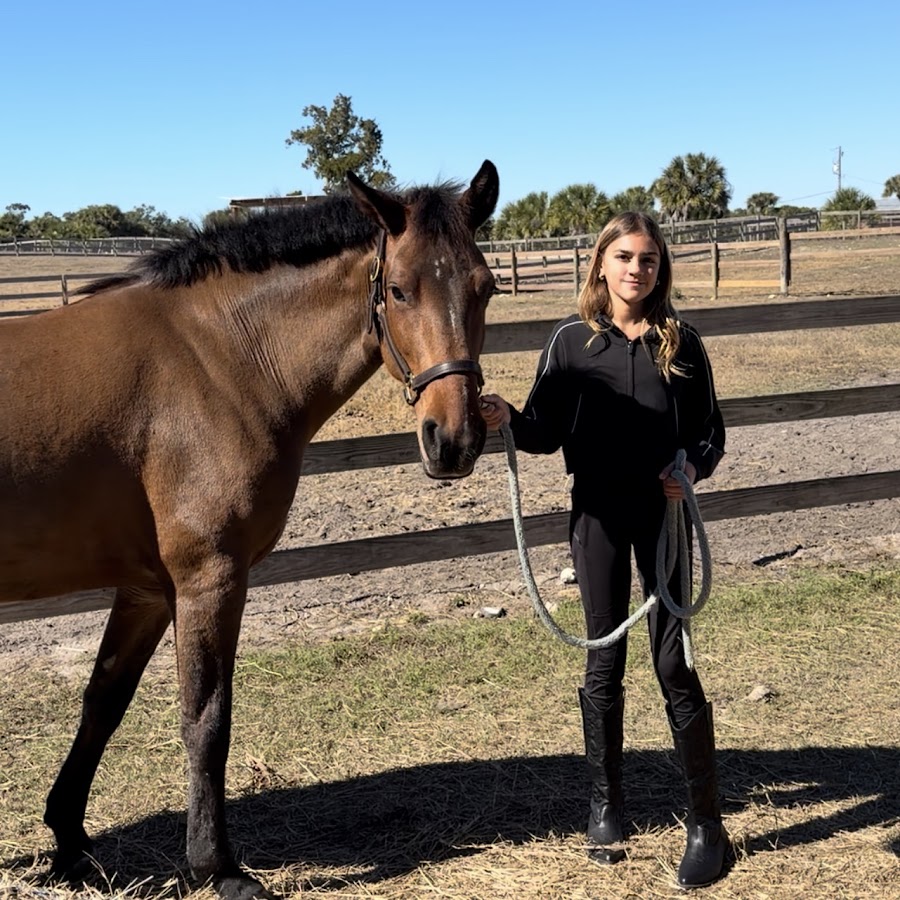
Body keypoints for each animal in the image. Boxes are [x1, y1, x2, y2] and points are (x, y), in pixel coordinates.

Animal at [0, 160, 499, 899]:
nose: (455, 440)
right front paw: (218, 867)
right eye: (399, 290)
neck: (216, 357)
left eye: (484, 287)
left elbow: (104, 702)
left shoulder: (148, 589)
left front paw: (68, 840)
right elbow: (206, 719)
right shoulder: (210, 579)